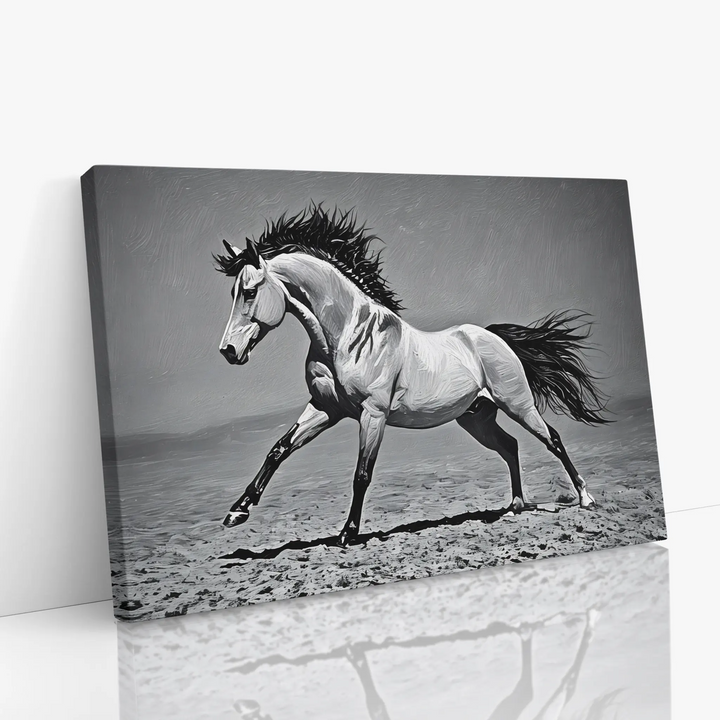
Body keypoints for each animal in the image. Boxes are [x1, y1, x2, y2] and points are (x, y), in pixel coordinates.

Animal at [214, 205, 609, 547]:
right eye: (233, 291)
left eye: (249, 291)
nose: (228, 351)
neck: (349, 336)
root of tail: (493, 336)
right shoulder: (326, 408)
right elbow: (278, 449)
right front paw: (237, 512)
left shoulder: (373, 415)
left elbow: (362, 474)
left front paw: (348, 534)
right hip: (477, 418)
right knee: (510, 446)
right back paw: (515, 507)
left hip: (519, 405)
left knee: (553, 439)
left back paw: (586, 499)